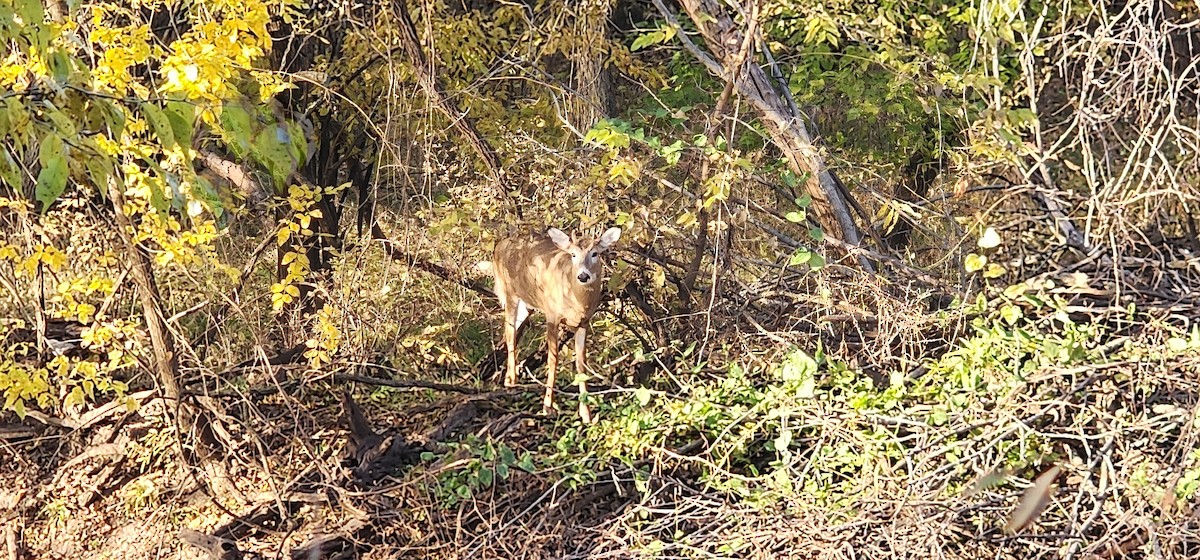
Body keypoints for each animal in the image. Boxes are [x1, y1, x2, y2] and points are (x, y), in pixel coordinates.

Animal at [478, 226, 621, 423]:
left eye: (595, 253)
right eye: (573, 254)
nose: (583, 276)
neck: (577, 301)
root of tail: (499, 245)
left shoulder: (584, 322)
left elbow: (581, 363)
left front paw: (586, 413)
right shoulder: (552, 315)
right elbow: (553, 359)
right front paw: (548, 407)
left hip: (527, 303)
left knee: (514, 330)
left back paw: (507, 377)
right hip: (509, 292)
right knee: (509, 333)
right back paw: (511, 380)